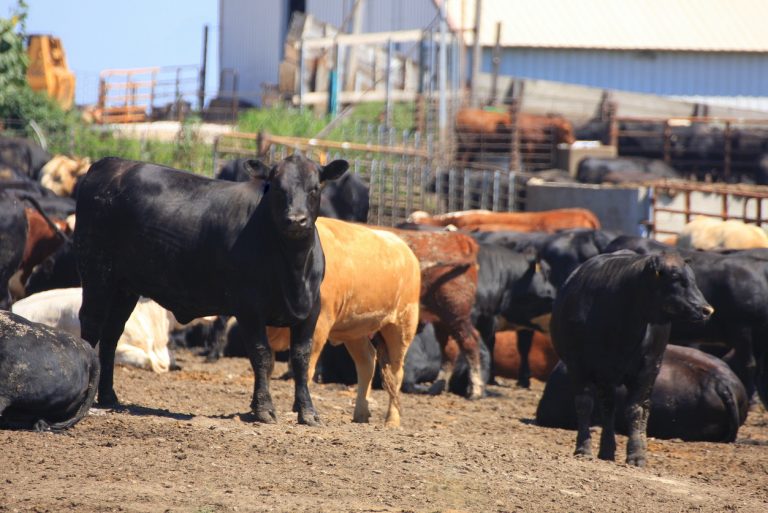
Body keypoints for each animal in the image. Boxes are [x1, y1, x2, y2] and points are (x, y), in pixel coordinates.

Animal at [74, 154, 348, 425]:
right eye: (278, 188)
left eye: (315, 188)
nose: (296, 220)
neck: (293, 269)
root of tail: (110, 163)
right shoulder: (249, 307)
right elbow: (262, 356)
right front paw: (264, 409)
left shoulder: (310, 310)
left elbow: (301, 359)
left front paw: (308, 412)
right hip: (97, 272)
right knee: (91, 326)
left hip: (124, 286)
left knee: (111, 335)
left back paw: (109, 396)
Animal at [262, 218, 421, 426]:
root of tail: (403, 246)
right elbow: (266, 364)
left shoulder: (318, 325)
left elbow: (305, 366)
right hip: (355, 329)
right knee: (367, 361)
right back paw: (361, 414)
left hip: (401, 325)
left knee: (395, 373)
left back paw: (392, 421)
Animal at [550, 251, 713, 466]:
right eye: (676, 278)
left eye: (693, 279)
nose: (707, 310)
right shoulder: (578, 366)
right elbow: (584, 404)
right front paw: (583, 448)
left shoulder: (646, 370)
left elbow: (635, 409)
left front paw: (636, 455)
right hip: (605, 377)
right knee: (608, 409)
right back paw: (606, 451)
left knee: (642, 409)